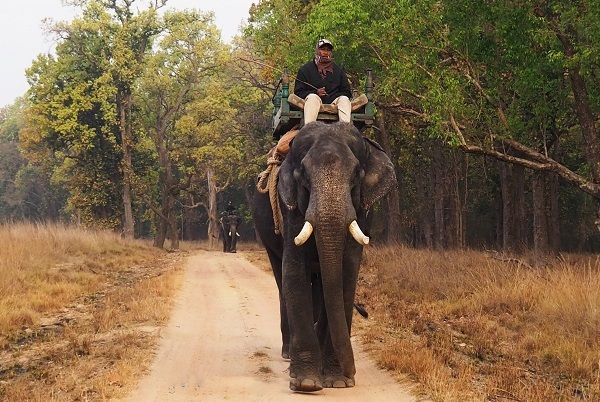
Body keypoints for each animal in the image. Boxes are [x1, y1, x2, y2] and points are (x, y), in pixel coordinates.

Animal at [252, 121, 396, 392]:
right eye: (302, 176)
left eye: (356, 175)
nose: (352, 371)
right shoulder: (291, 209)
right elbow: (294, 270)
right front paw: (307, 383)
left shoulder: (361, 211)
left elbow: (347, 272)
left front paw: (338, 381)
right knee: (281, 277)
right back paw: (287, 353)